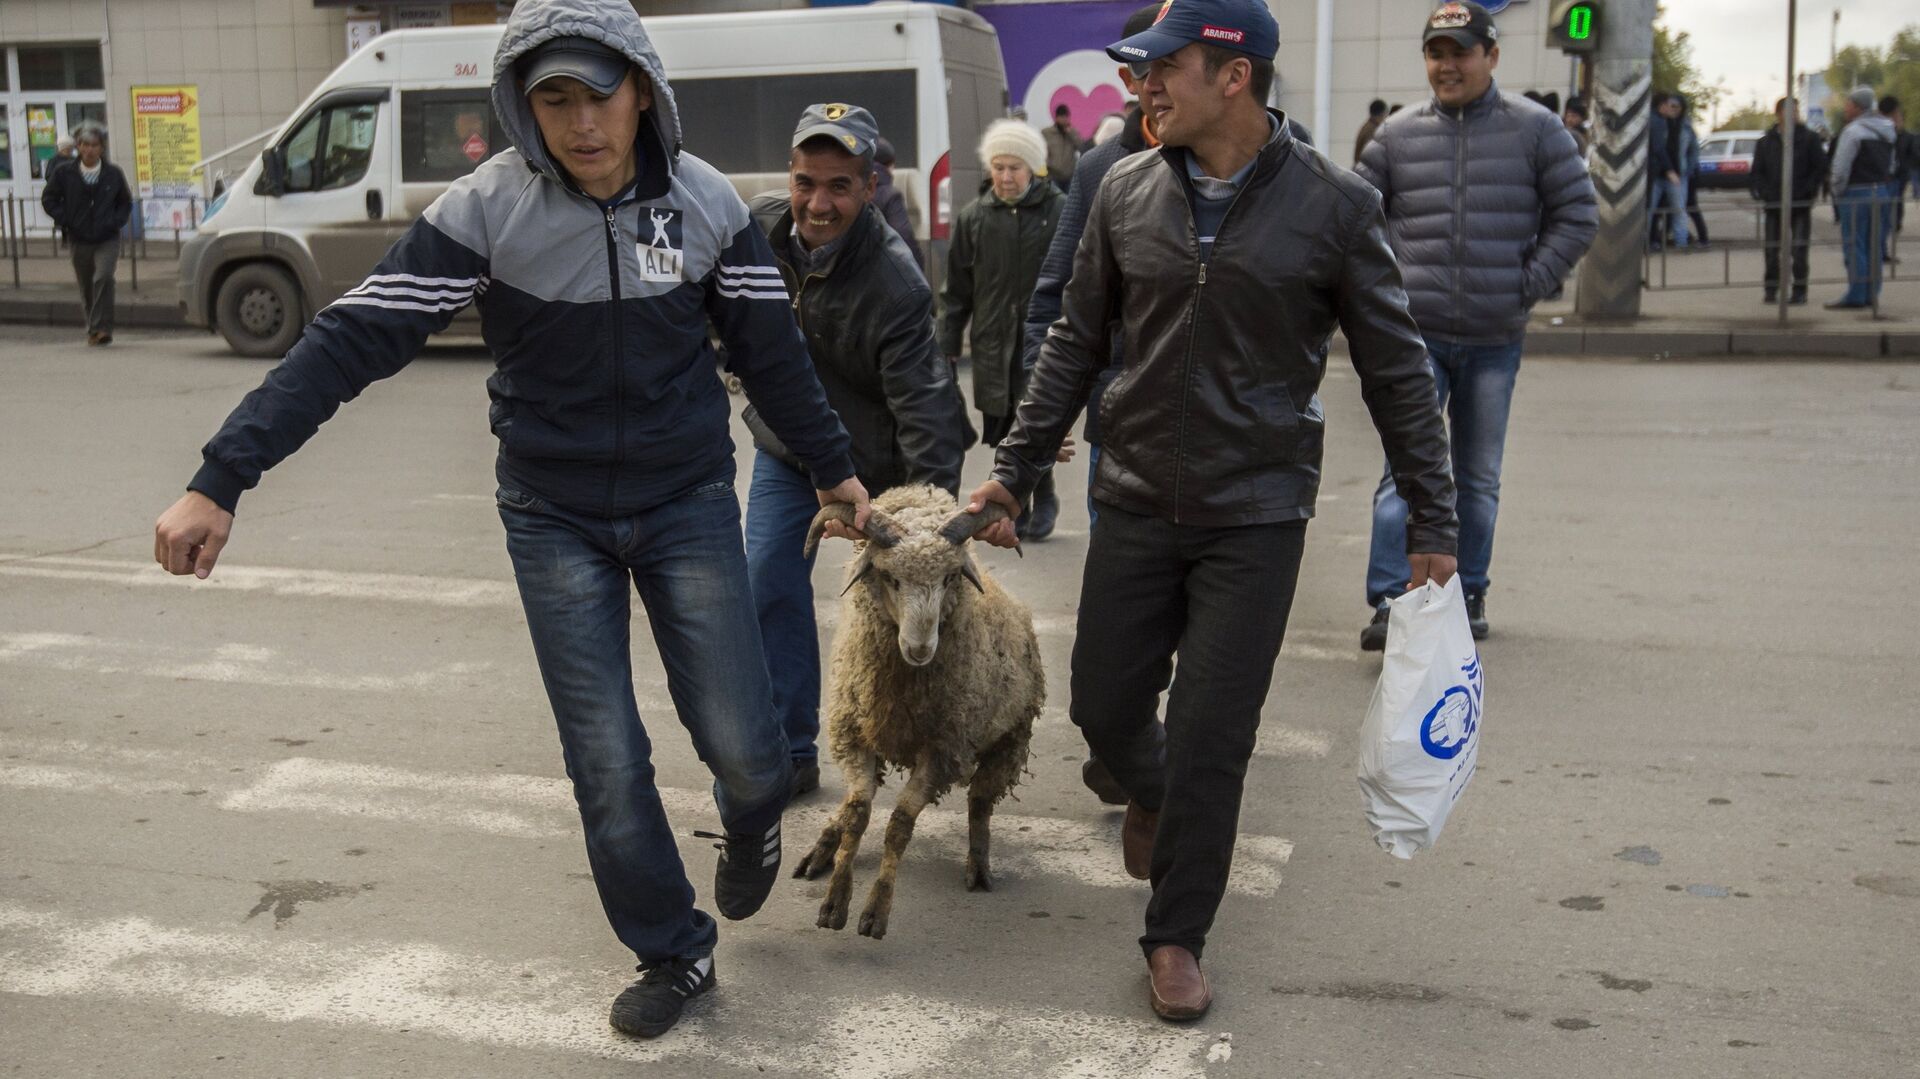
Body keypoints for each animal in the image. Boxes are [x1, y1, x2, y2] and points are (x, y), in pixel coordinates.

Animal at [787, 483, 1044, 936]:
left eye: (949, 578)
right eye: (890, 578)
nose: (921, 648)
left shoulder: (942, 754)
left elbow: (900, 825)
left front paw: (875, 911)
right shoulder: (854, 737)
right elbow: (857, 812)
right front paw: (835, 901)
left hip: (1010, 739)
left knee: (980, 801)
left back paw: (979, 865)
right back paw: (822, 849)